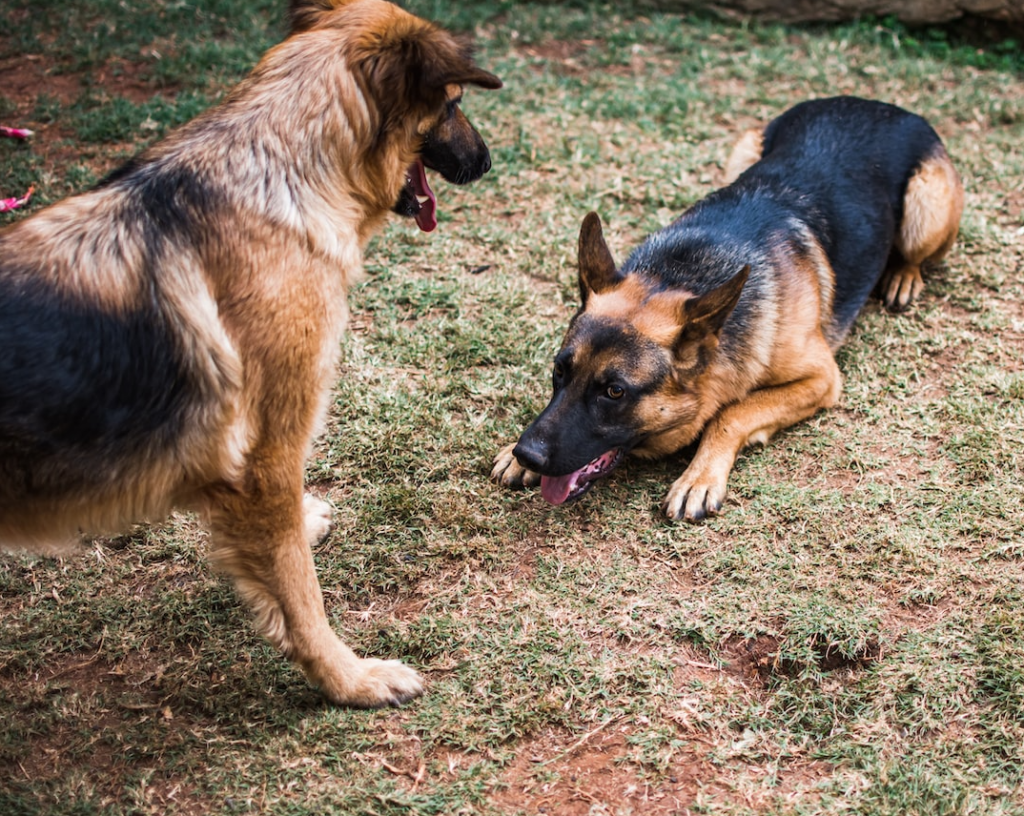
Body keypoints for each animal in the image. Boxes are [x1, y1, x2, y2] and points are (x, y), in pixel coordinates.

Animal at [0, 0, 501, 704]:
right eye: (453, 102)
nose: (487, 161)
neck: (284, 168)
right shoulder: (266, 457)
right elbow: (299, 592)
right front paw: (348, 679)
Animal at [491, 97, 962, 522]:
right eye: (559, 371)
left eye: (614, 392)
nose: (527, 453)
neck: (680, 272)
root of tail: (879, 104)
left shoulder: (822, 379)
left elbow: (732, 413)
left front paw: (698, 478)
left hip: (926, 207)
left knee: (916, 254)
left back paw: (904, 276)